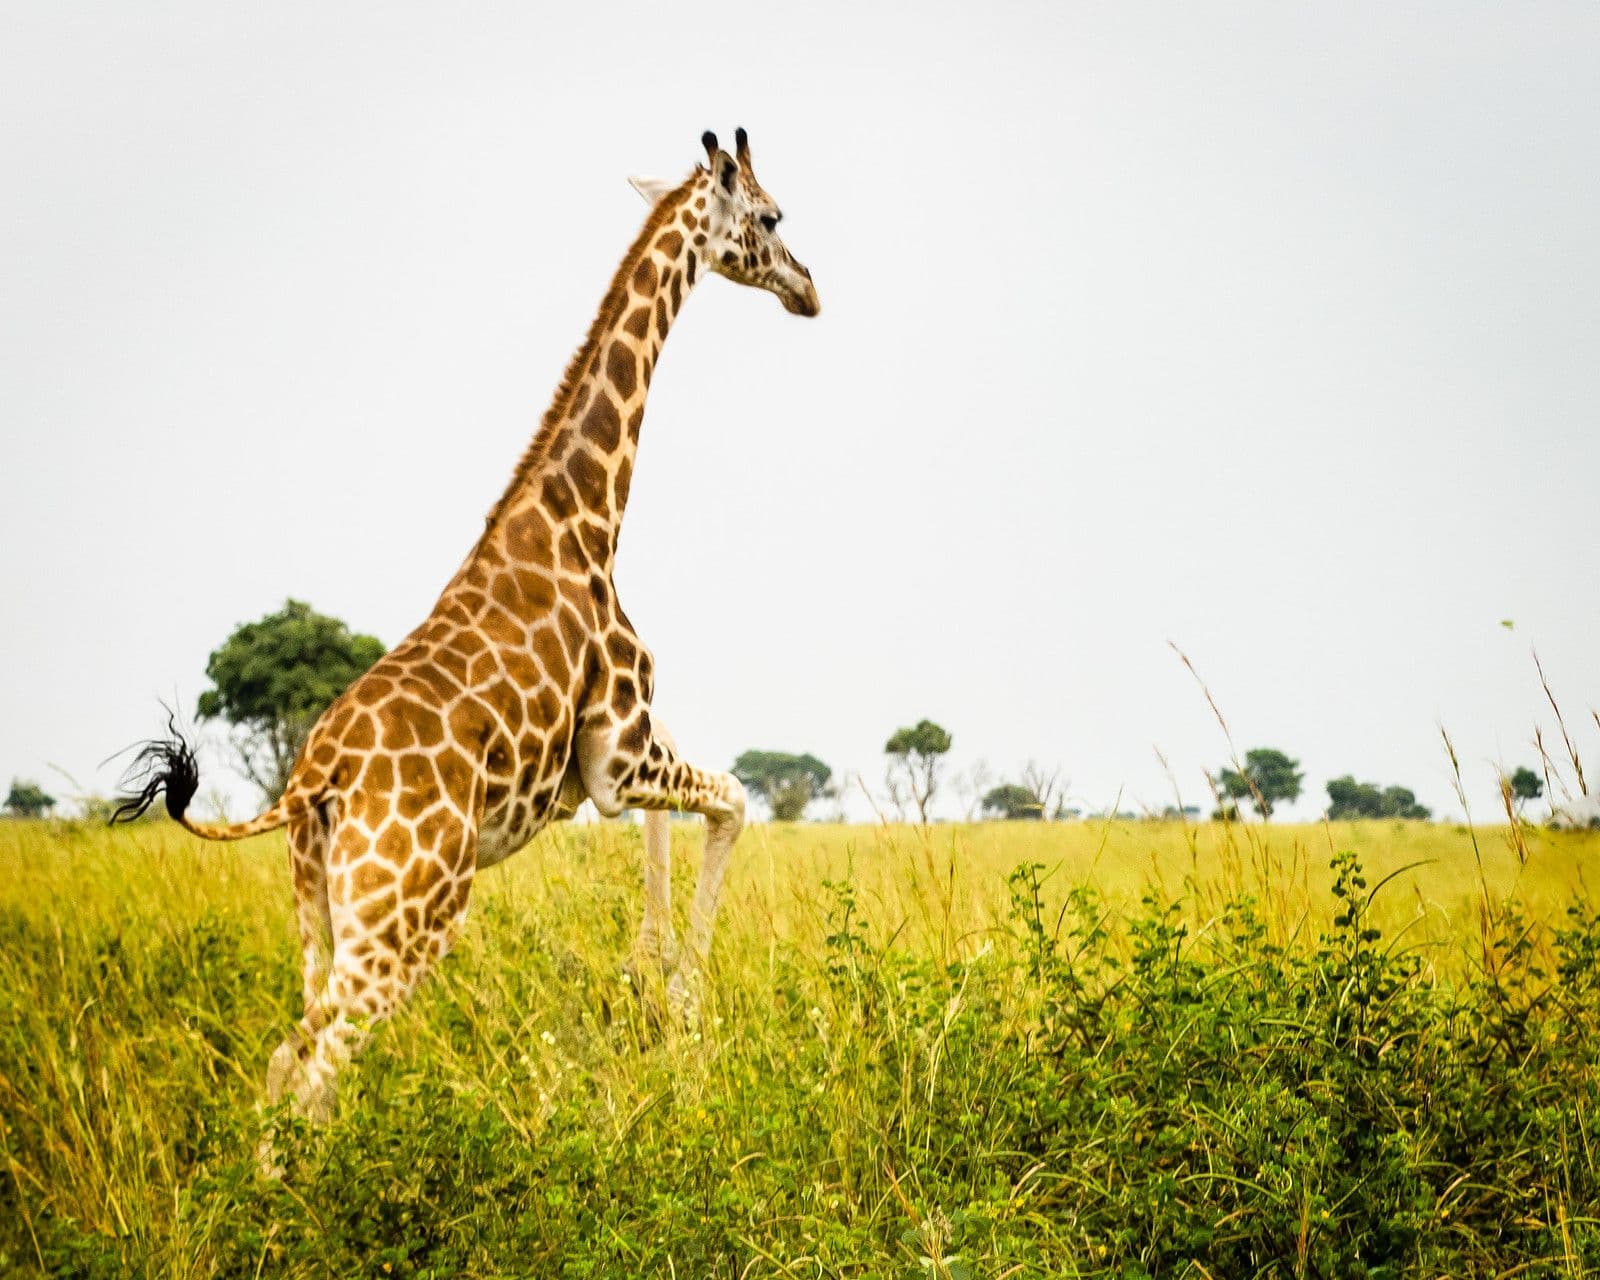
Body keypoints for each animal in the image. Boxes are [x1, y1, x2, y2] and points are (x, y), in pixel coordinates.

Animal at [114, 128, 819, 1119]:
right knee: (316, 1072)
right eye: (771, 217)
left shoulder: (604, 765)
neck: (585, 516)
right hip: (407, 917)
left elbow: (686, 813)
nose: (809, 288)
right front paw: (681, 998)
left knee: (285, 1058)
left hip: (317, 909)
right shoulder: (620, 749)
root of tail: (313, 782)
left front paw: (650, 979)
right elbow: (738, 796)